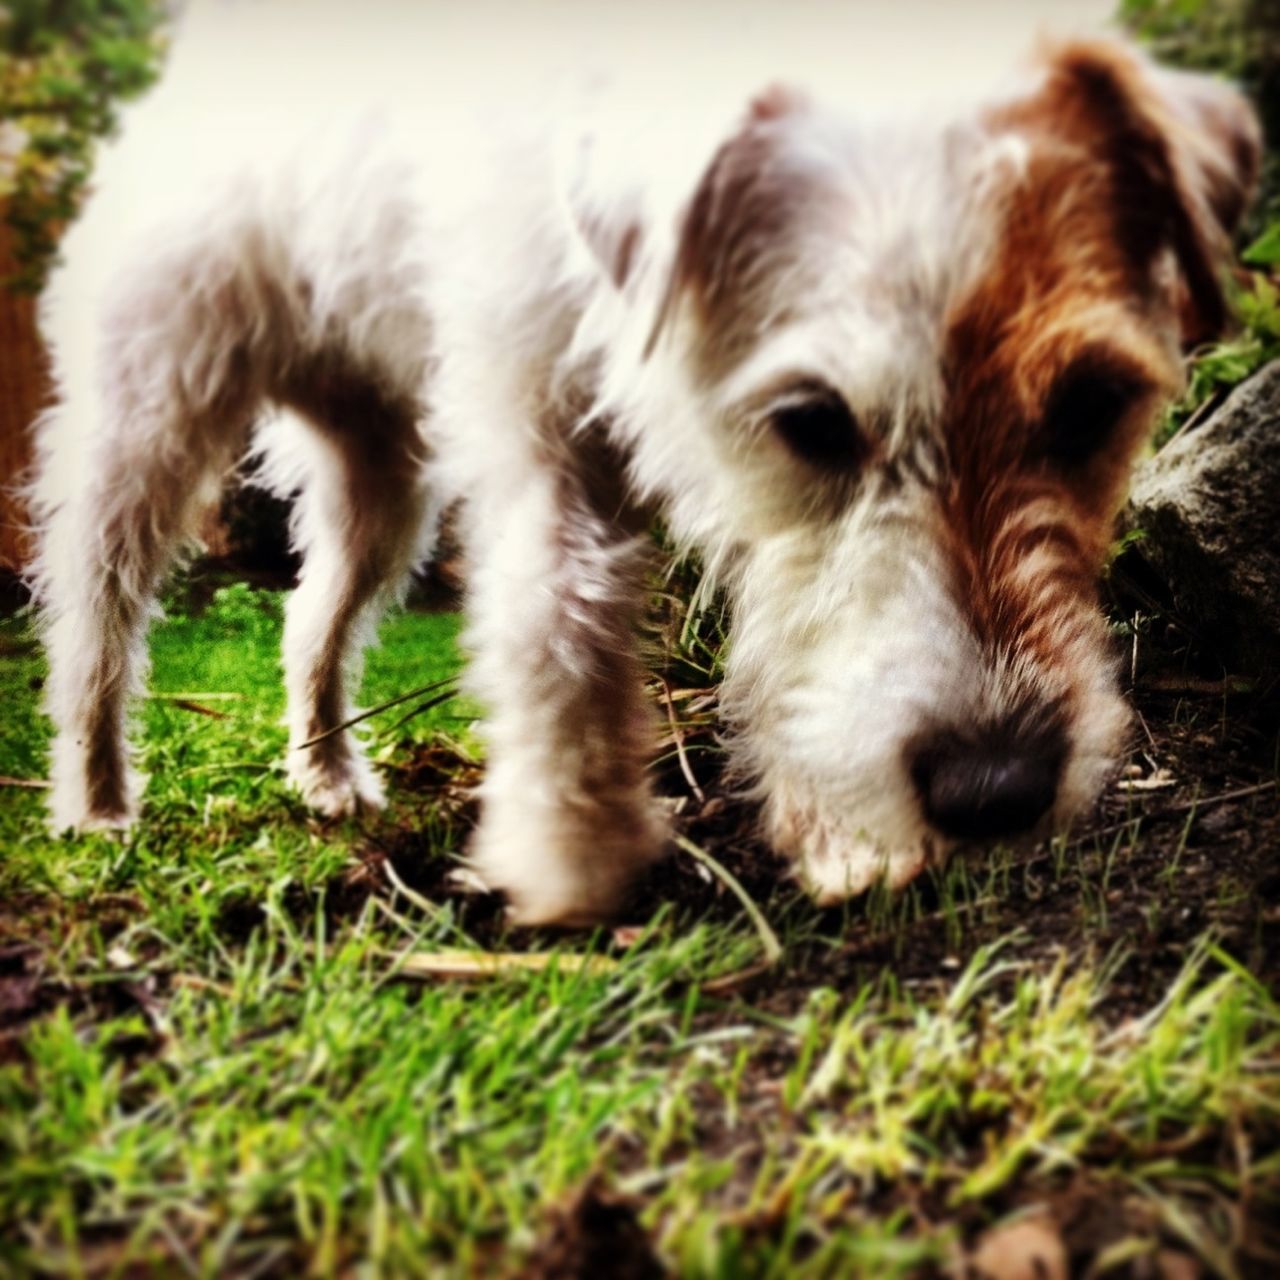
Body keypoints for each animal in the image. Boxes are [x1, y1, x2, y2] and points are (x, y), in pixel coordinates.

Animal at [27, 2, 1259, 921]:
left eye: (1093, 404)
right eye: (813, 422)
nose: (997, 793)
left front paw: (838, 836)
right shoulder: (548, 463)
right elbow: (558, 631)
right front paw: (575, 862)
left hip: (381, 477)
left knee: (313, 616)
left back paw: (328, 773)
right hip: (149, 426)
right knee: (97, 611)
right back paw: (95, 795)